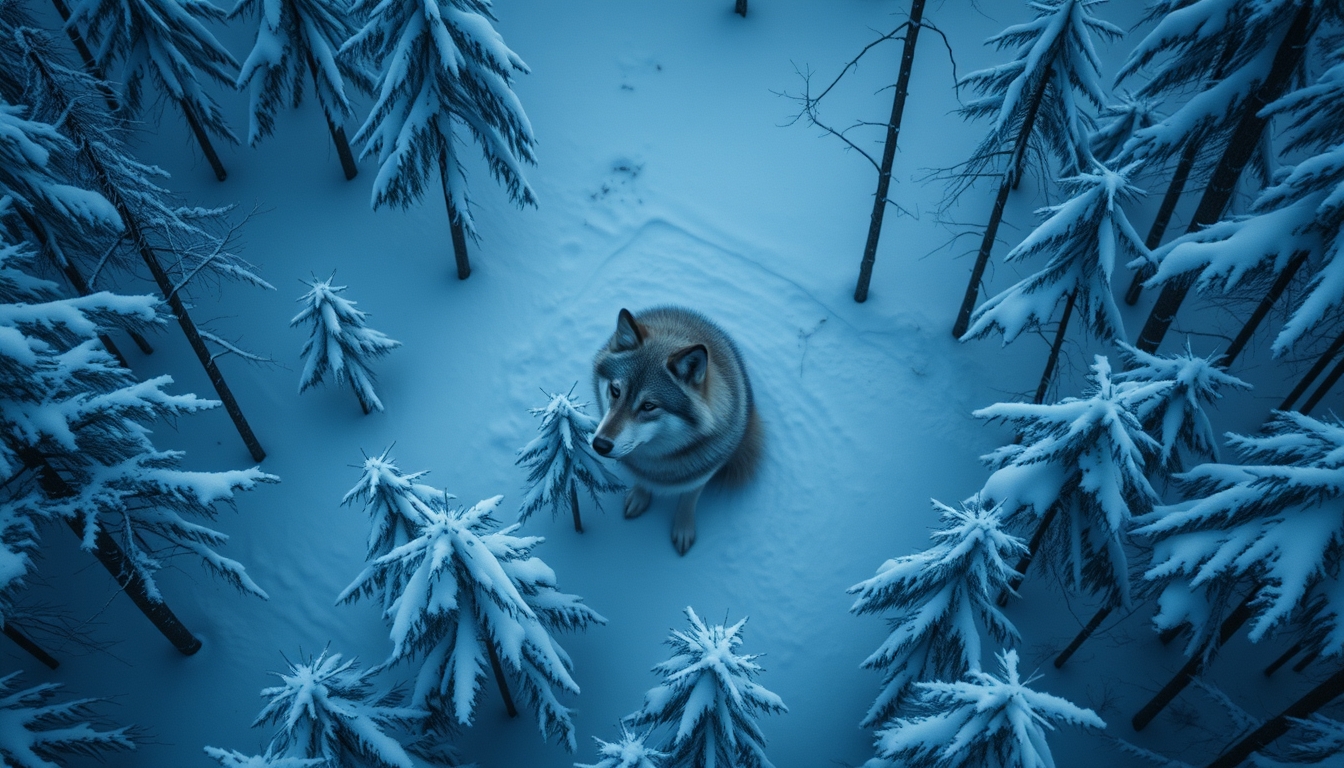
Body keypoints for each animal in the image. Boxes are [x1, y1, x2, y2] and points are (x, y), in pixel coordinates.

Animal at [591, 306, 761, 554]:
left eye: (649, 406)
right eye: (615, 390)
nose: (599, 445)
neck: (660, 459)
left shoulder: (701, 477)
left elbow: (687, 502)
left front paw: (683, 529)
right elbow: (643, 480)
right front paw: (640, 496)